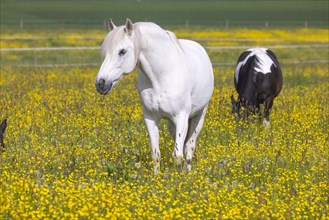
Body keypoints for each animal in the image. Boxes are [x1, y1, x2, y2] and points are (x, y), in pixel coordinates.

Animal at [95, 18, 213, 172]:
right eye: (105, 52)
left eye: (122, 51)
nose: (100, 83)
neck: (161, 77)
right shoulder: (150, 118)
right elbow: (155, 154)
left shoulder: (181, 117)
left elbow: (177, 156)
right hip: (171, 123)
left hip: (199, 116)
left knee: (188, 148)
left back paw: (188, 172)